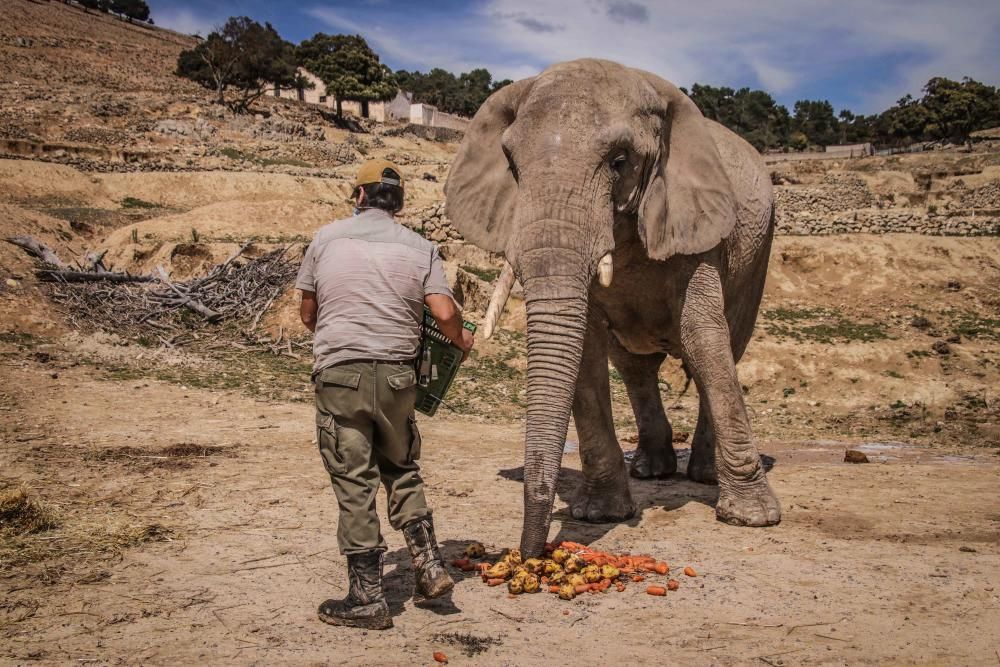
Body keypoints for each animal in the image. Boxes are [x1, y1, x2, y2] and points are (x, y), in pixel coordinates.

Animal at [446, 58, 780, 560]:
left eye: (620, 162)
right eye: (513, 166)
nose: (528, 553)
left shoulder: (695, 223)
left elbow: (703, 335)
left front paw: (754, 519)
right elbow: (584, 349)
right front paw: (601, 514)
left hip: (758, 250)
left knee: (726, 346)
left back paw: (703, 475)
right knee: (635, 367)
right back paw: (652, 470)